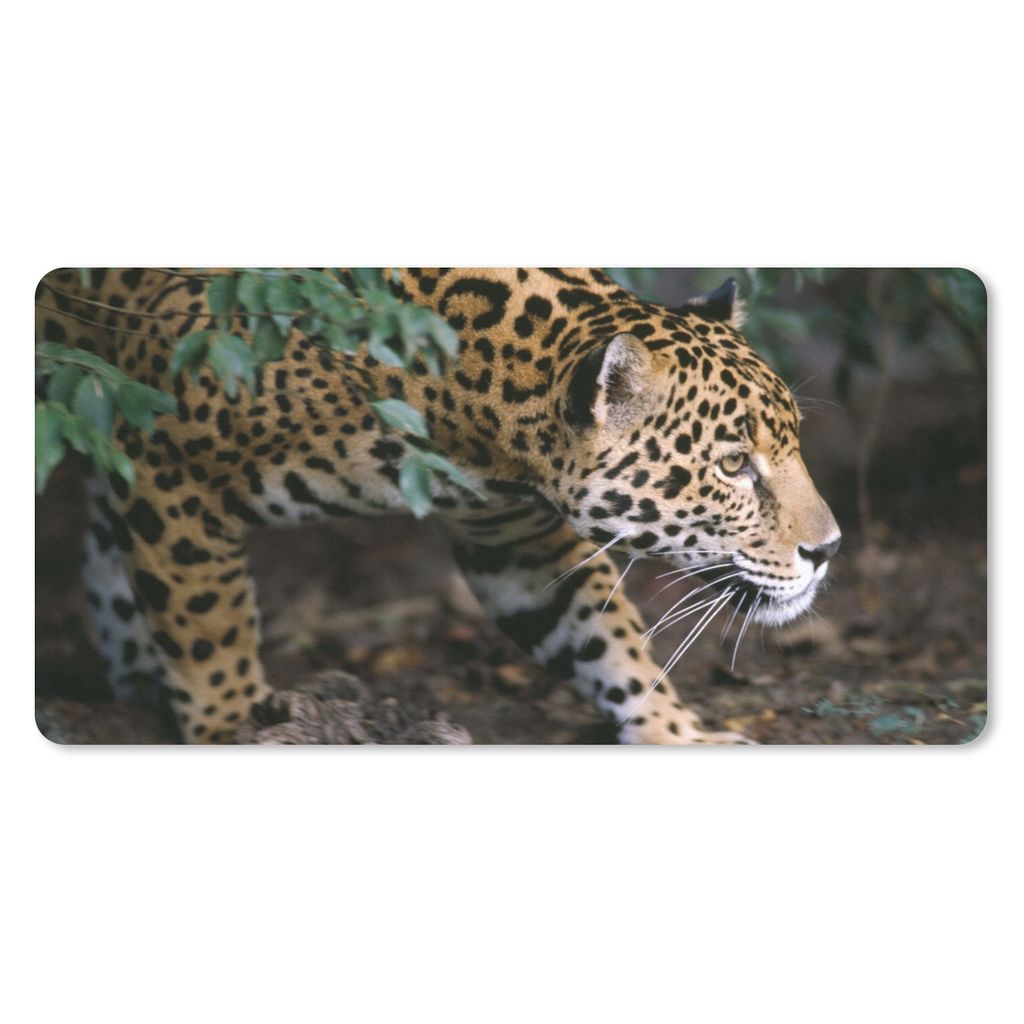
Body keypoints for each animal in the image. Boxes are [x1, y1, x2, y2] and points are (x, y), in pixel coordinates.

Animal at [36, 267, 840, 744]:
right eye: (733, 465)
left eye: (793, 441)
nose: (828, 550)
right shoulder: (165, 464)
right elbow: (210, 634)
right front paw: (231, 727)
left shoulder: (515, 539)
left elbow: (604, 638)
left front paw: (678, 734)